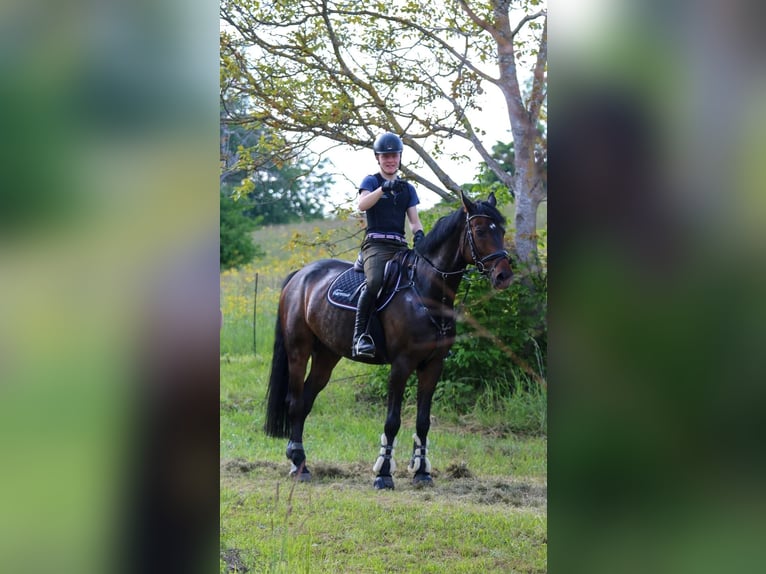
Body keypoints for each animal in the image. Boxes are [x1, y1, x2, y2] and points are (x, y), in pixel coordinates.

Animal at [263, 191, 513, 489]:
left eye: (501, 230)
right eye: (479, 230)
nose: (504, 276)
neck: (425, 292)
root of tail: (300, 275)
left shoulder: (433, 366)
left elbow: (423, 421)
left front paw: (422, 472)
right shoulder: (401, 365)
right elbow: (392, 420)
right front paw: (383, 473)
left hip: (326, 355)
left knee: (305, 402)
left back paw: (300, 463)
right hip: (298, 351)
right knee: (294, 401)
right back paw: (297, 463)